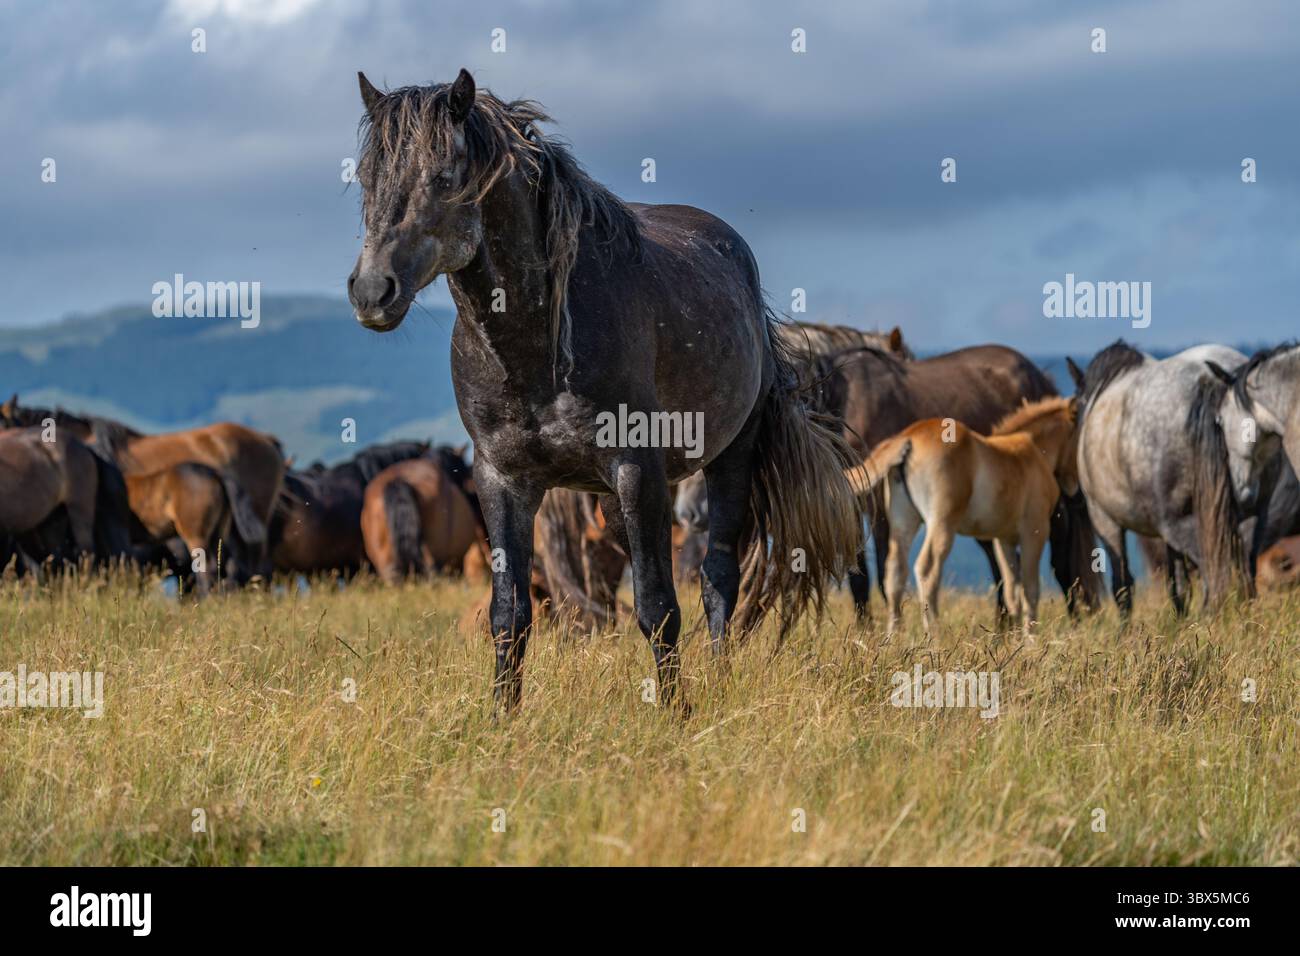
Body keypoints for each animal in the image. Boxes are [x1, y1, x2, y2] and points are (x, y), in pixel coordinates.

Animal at [847, 397, 1082, 635]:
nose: (1075, 486)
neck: (1032, 451)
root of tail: (908, 437)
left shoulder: (1004, 539)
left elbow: (1011, 591)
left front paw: (1015, 637)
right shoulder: (1035, 532)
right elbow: (1030, 589)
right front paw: (1030, 637)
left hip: (903, 522)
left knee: (894, 572)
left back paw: (894, 635)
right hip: (942, 524)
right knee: (927, 569)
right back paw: (935, 633)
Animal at [1069, 340, 1267, 615]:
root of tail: (1210, 378)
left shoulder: (1104, 518)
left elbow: (1122, 585)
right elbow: (1179, 584)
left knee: (1212, 565)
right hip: (1245, 515)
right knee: (1244, 564)